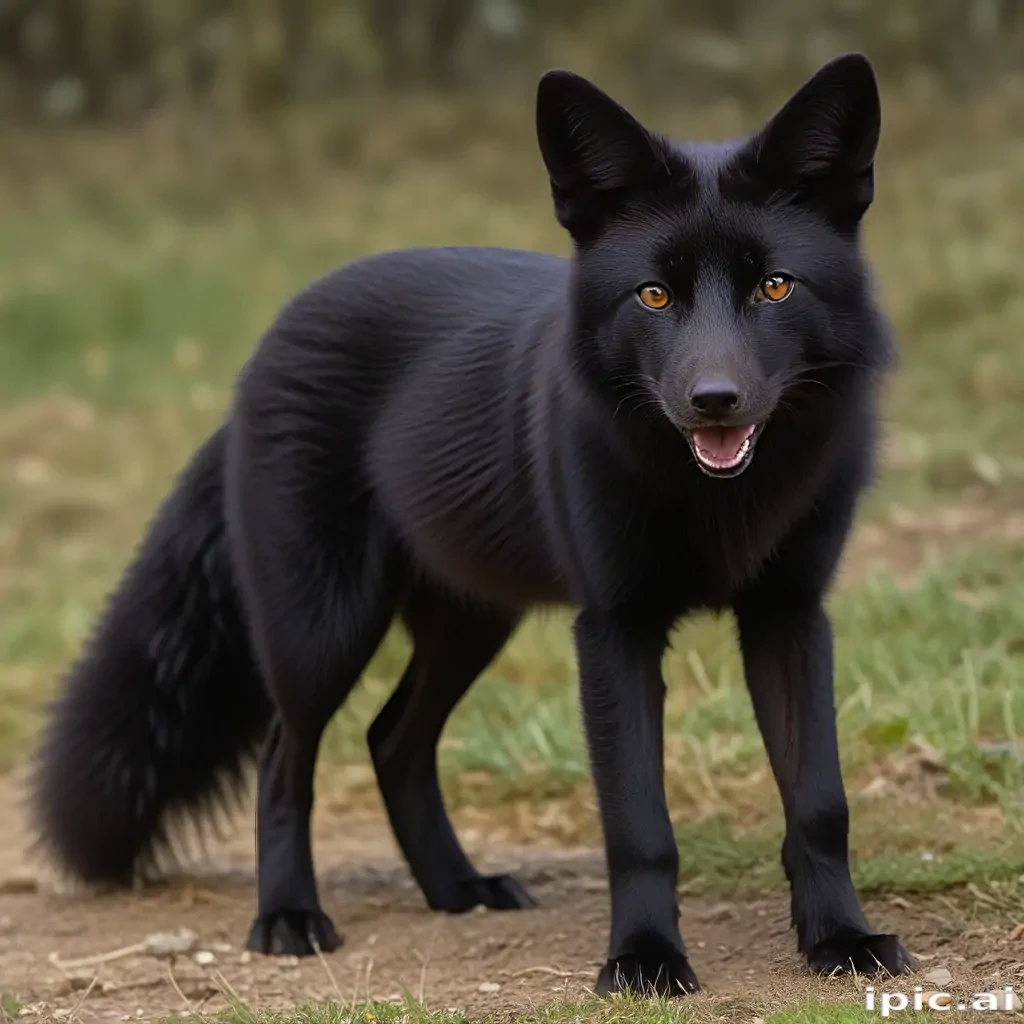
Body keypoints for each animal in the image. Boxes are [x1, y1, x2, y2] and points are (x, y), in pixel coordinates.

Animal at [32, 54, 912, 995]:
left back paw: (457, 890)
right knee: (284, 758)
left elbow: (819, 802)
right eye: (654, 295)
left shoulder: (790, 615)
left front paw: (842, 940)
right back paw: (290, 917)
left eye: (774, 285)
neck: (717, 500)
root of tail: (260, 355)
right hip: (321, 633)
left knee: (391, 740)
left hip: (472, 620)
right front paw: (644, 958)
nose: (716, 399)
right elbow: (639, 823)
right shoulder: (614, 629)